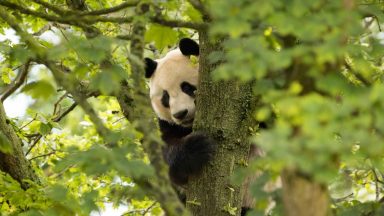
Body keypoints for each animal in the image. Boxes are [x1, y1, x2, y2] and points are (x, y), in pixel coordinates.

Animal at [144, 38, 216, 185]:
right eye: (165, 97)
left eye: (187, 87)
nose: (180, 114)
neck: (189, 126)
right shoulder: (168, 124)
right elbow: (165, 151)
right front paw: (196, 147)